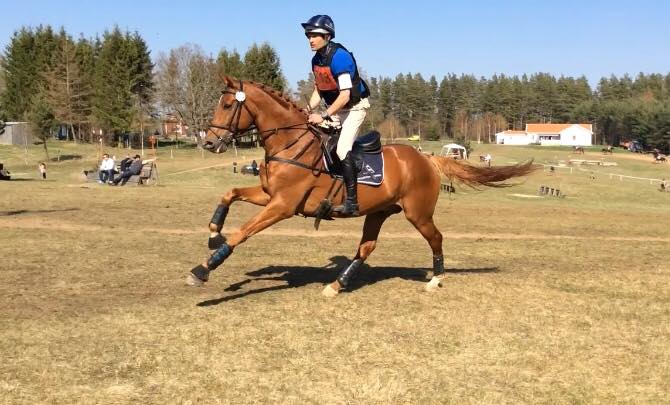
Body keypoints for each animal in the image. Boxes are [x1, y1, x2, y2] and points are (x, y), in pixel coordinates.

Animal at [186, 77, 540, 296]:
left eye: (228, 106)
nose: (210, 142)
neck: (289, 143)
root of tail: (427, 158)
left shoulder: (282, 205)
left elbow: (242, 232)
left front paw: (203, 269)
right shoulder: (270, 196)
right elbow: (229, 194)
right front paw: (213, 232)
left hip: (418, 213)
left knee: (436, 238)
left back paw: (435, 279)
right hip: (379, 211)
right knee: (367, 247)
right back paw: (337, 284)